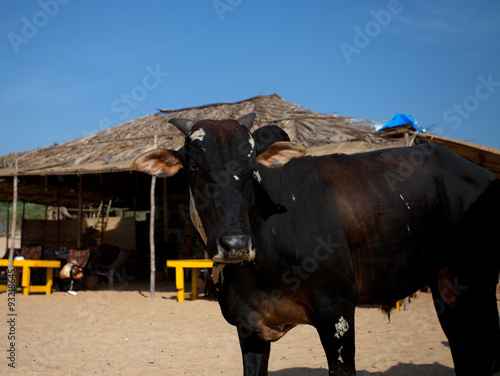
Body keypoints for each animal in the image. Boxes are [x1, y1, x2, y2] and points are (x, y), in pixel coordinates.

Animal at [134, 114, 500, 376]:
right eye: (194, 168)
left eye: (251, 168)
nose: (235, 244)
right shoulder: (248, 326)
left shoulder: (337, 314)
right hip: (447, 291)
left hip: (479, 284)